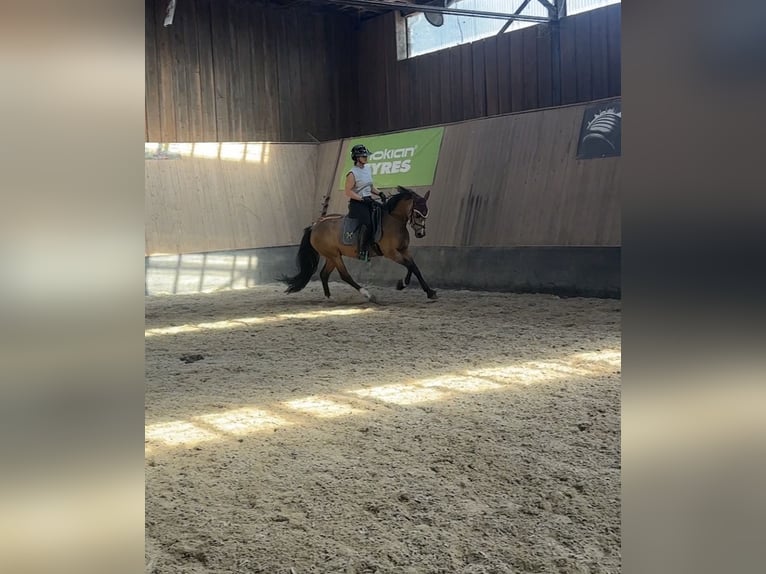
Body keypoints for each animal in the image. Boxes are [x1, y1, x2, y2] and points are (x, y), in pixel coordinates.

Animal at [280, 186, 437, 301]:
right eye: (417, 214)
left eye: (426, 213)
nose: (421, 234)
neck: (394, 220)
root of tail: (315, 225)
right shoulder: (391, 253)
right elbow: (410, 265)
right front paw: (404, 285)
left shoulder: (404, 250)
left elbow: (414, 267)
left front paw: (426, 291)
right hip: (334, 255)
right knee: (345, 276)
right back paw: (368, 295)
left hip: (332, 256)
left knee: (324, 274)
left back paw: (329, 298)